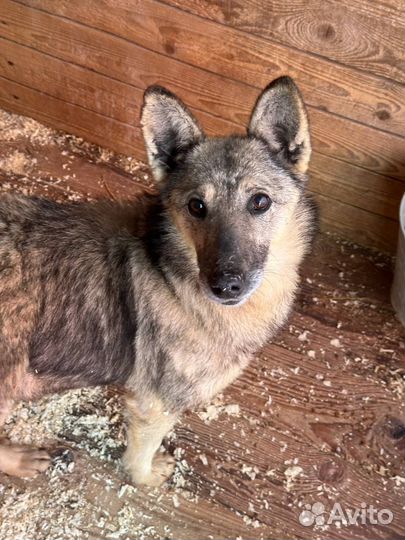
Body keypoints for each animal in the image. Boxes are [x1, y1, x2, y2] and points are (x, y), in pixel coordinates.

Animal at [0, 76, 316, 486]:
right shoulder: (155, 403)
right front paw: (146, 478)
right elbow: (140, 456)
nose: (225, 285)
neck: (174, 272)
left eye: (260, 202)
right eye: (197, 206)